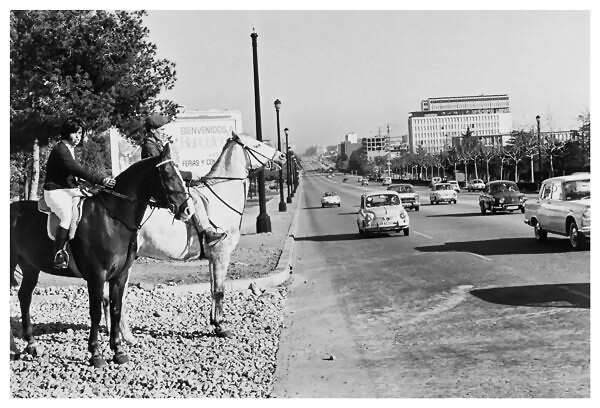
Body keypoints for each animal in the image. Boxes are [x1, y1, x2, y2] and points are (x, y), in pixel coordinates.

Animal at [9, 145, 192, 368]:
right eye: (167, 174)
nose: (187, 210)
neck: (113, 219)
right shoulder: (96, 276)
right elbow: (95, 312)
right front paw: (95, 354)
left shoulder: (119, 276)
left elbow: (116, 309)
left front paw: (119, 351)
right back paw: (14, 348)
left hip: (30, 267)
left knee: (24, 296)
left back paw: (31, 345)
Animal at [107, 132, 286, 340]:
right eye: (257, 144)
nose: (282, 156)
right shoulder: (221, 253)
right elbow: (219, 290)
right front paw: (220, 327)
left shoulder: (212, 257)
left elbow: (212, 288)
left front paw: (214, 322)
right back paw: (125, 336)